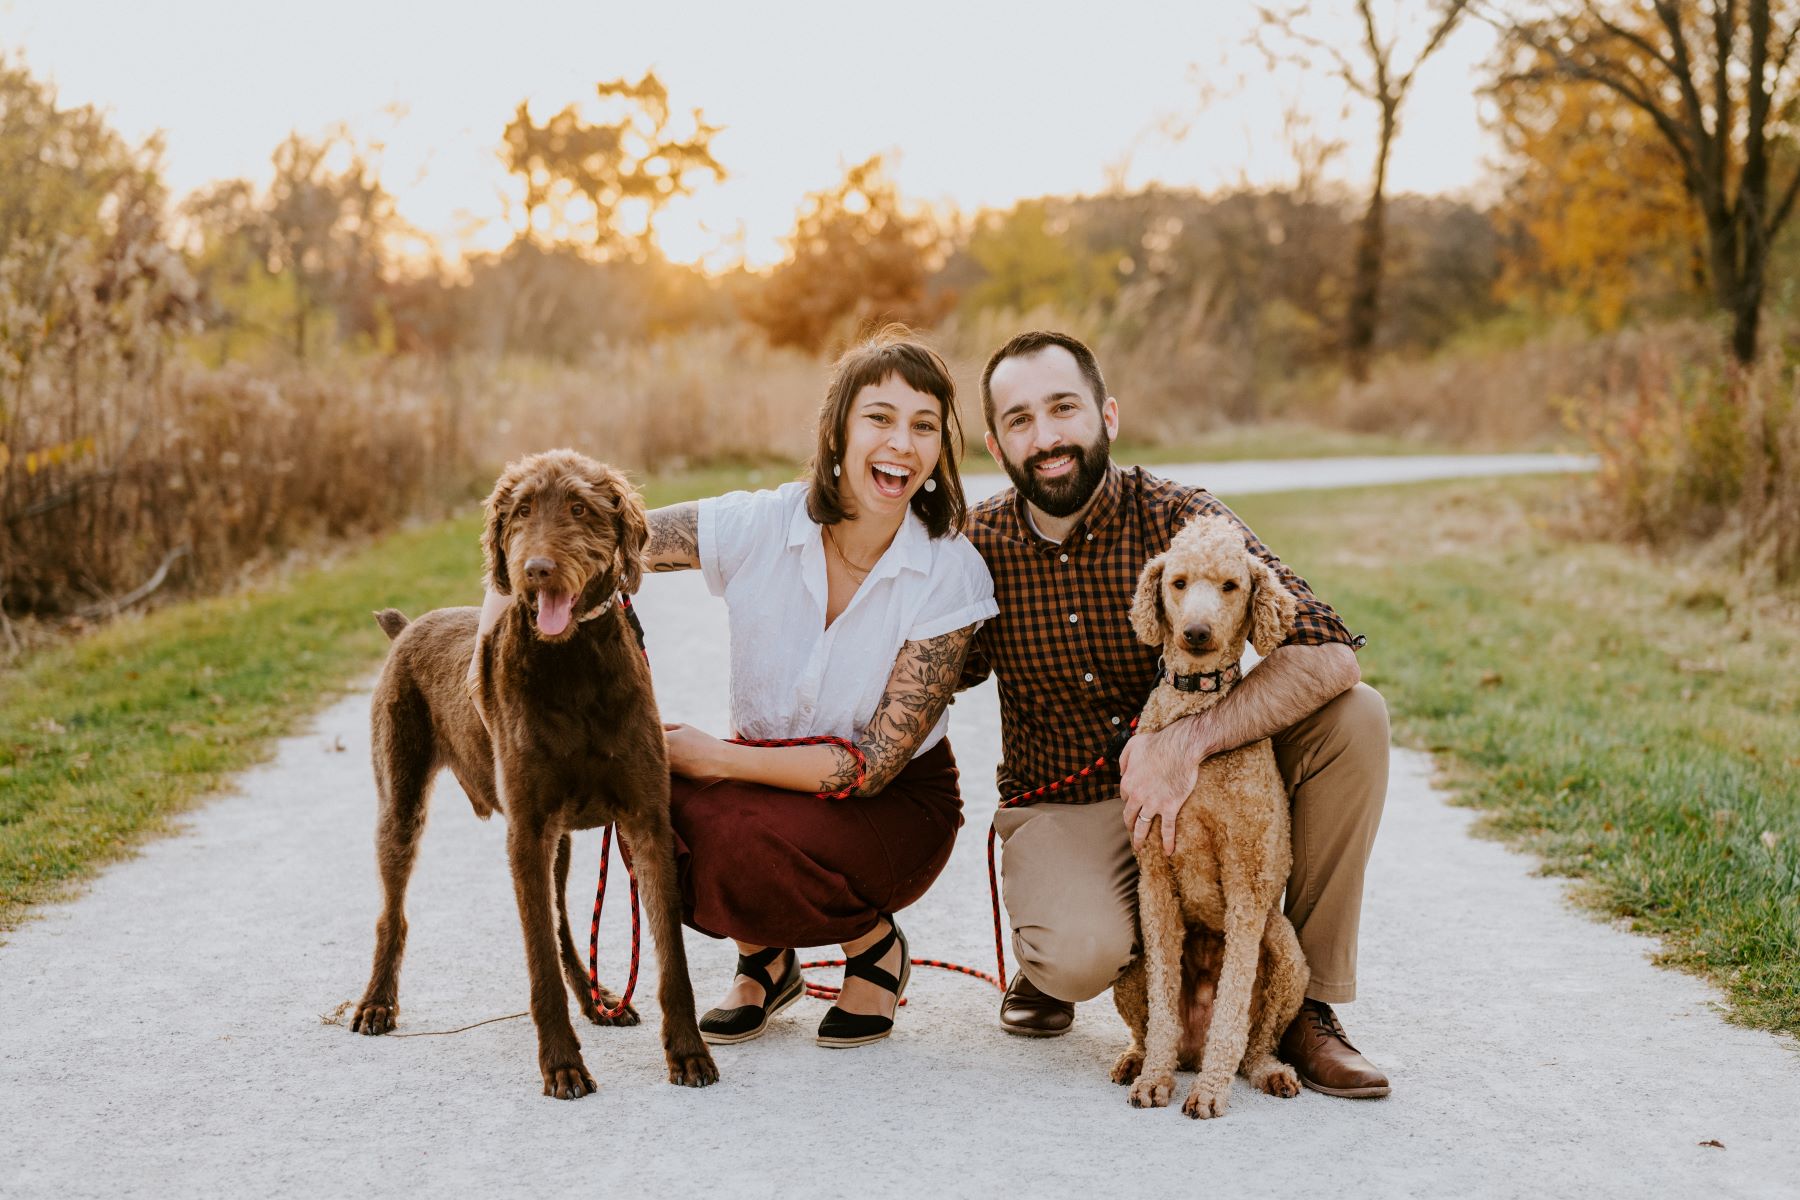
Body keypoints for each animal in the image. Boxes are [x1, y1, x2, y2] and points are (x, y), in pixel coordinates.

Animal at [351, 447, 716, 1101]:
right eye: (520, 511)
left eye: (579, 509)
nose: (536, 570)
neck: (572, 663)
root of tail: (409, 626)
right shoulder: (526, 834)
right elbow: (538, 959)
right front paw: (562, 1064)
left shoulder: (646, 821)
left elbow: (670, 955)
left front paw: (688, 1051)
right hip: (402, 805)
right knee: (393, 913)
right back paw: (376, 1003)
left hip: (562, 841)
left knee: (566, 924)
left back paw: (597, 999)